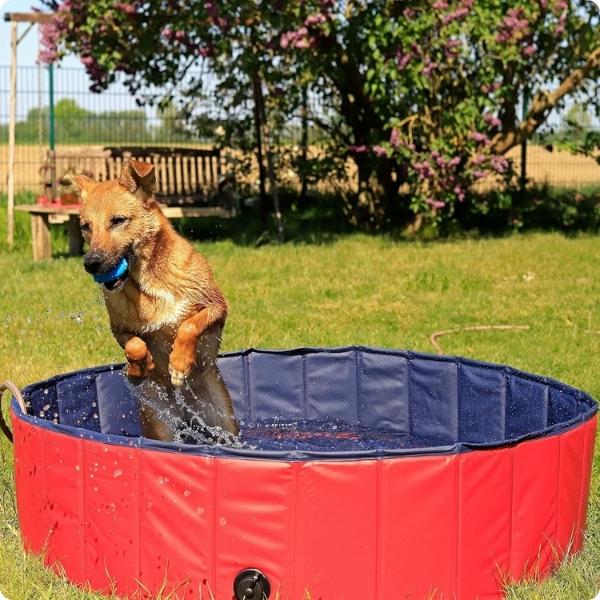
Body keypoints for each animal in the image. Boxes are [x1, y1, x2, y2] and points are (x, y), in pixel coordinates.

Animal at [61, 159, 238, 440]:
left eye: (118, 220)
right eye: (86, 226)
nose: (91, 263)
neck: (148, 281)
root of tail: (184, 411)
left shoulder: (216, 307)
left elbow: (188, 325)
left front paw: (179, 364)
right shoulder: (119, 328)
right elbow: (134, 345)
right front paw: (138, 368)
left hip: (222, 421)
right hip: (160, 424)